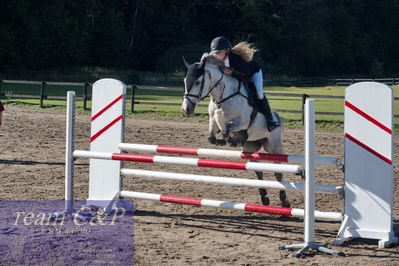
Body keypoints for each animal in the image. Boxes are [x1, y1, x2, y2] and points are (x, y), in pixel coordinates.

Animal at [181, 53, 290, 208]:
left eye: (198, 82)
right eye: (185, 80)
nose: (186, 109)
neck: (222, 96)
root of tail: (277, 117)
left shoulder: (242, 122)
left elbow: (228, 129)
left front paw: (233, 139)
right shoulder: (212, 120)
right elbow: (211, 136)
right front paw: (223, 141)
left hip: (273, 146)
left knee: (278, 172)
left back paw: (284, 200)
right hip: (250, 149)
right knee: (258, 171)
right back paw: (264, 198)